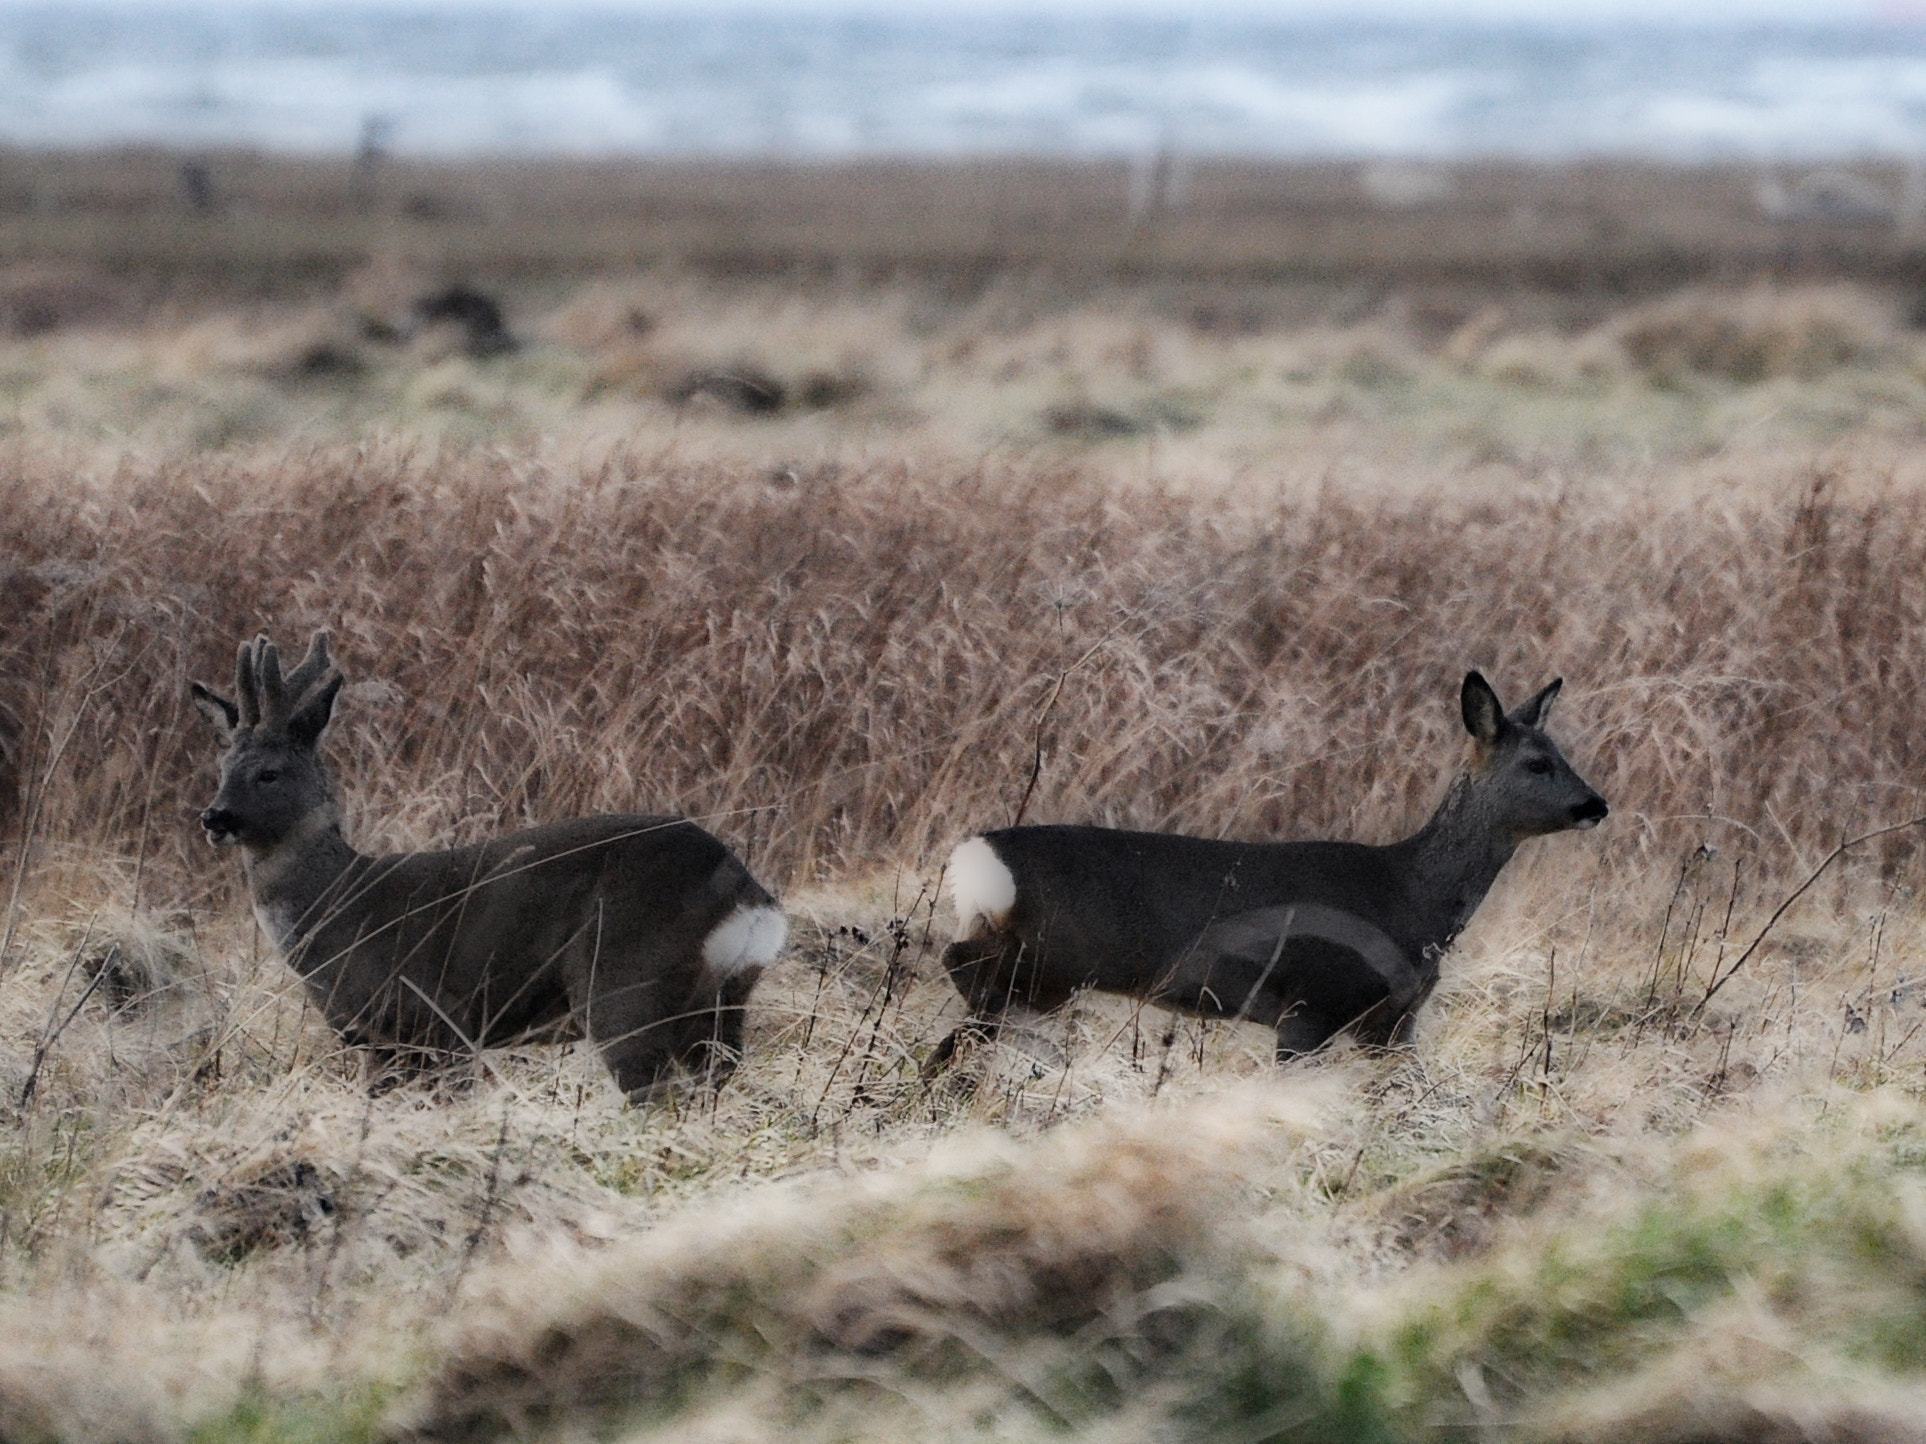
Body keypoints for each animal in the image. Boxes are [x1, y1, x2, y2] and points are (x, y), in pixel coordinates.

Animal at [190, 630, 787, 1098]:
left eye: (268, 773)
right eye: (222, 767)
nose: (214, 816)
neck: (340, 906)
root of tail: (749, 895)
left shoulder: (433, 1023)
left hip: (627, 981)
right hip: (720, 1002)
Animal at [934, 672, 1607, 1066]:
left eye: (1562, 754)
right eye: (1537, 763)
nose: (1596, 805)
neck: (1414, 896)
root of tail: (973, 858)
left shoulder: (1392, 1025)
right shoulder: (1308, 1006)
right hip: (1052, 956)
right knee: (959, 967)